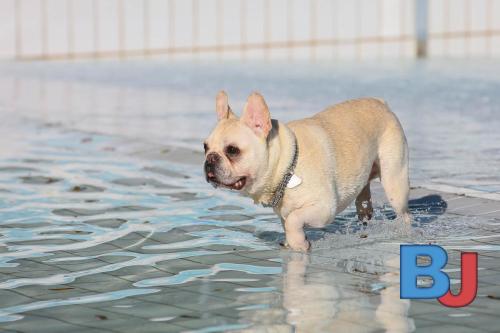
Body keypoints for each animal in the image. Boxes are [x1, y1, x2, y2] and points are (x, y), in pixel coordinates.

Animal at [204, 89, 410, 250]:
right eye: (205, 147)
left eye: (232, 150)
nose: (210, 159)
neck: (287, 166)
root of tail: (381, 103)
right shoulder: (285, 213)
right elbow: (289, 224)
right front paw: (294, 243)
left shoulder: (324, 208)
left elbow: (294, 220)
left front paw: (299, 243)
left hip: (394, 183)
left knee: (404, 213)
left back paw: (403, 230)